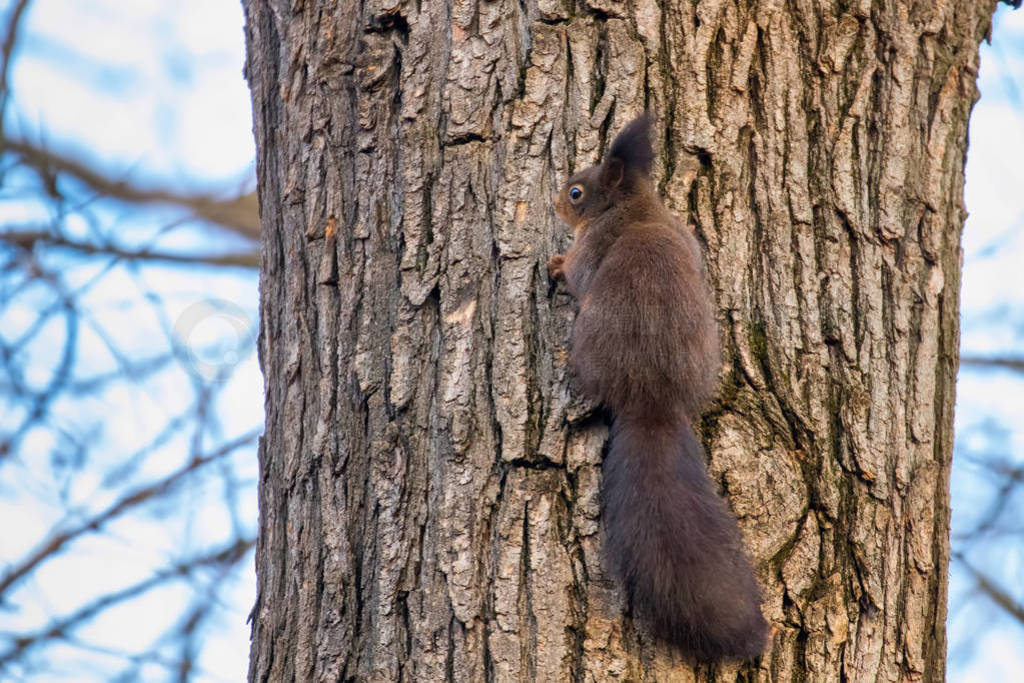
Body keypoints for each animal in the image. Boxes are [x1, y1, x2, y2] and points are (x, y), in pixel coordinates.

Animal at [548, 116, 765, 663]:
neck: (636, 207)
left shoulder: (592, 246)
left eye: (577, 192)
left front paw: (557, 265)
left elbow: (576, 271)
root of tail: (652, 399)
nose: (556, 201)